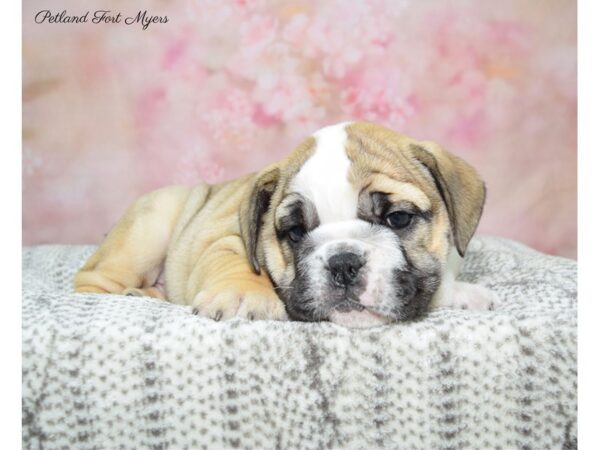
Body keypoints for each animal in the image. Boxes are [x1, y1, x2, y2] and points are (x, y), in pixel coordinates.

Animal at [74, 121, 496, 328]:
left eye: (398, 218)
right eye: (295, 232)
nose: (343, 262)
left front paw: (464, 294)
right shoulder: (225, 237)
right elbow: (238, 264)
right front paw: (245, 295)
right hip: (152, 221)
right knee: (91, 281)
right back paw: (133, 293)